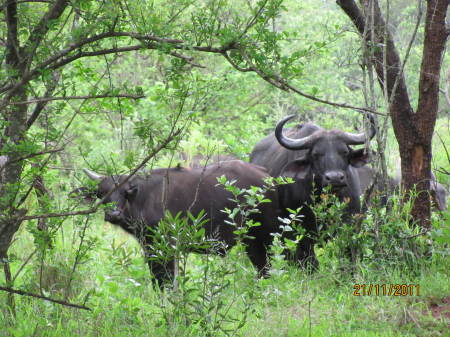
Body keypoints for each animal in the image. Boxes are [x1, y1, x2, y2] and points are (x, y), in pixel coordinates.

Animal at [81, 159, 278, 284]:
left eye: (125, 192)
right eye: (101, 193)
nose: (113, 214)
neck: (143, 199)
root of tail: (266, 174)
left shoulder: (166, 247)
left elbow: (166, 282)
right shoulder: (151, 248)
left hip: (267, 235)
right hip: (251, 241)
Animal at [250, 114, 376, 270]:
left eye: (344, 152)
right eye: (316, 154)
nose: (335, 178)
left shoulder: (350, 222)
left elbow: (349, 253)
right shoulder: (301, 229)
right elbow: (309, 260)